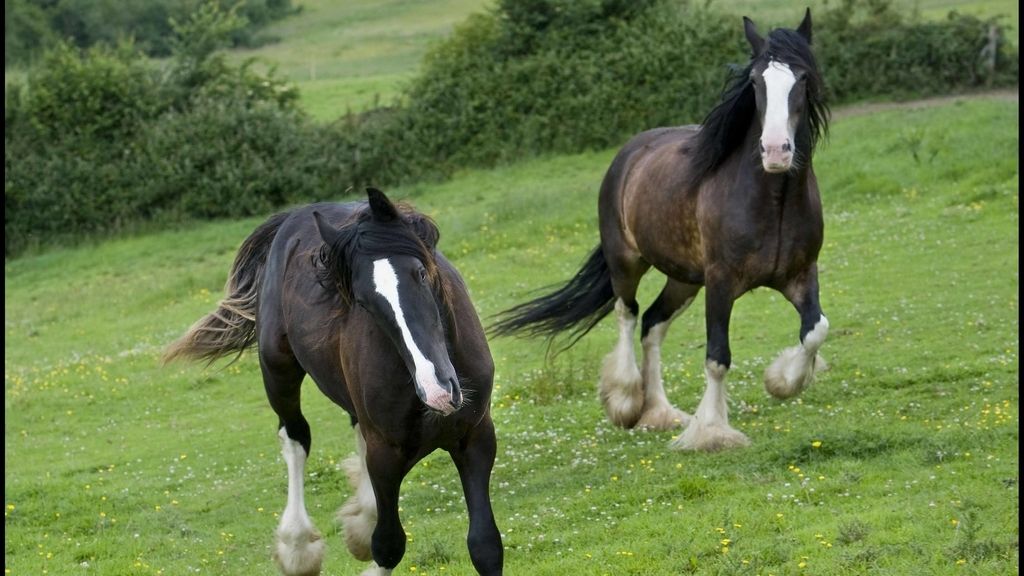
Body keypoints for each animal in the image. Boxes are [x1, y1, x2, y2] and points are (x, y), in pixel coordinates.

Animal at [165, 188, 503, 576]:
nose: (438, 391)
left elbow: (485, 546)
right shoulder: (386, 454)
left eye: (420, 273)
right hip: (278, 371)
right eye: (364, 301)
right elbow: (388, 545)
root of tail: (294, 215)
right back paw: (298, 547)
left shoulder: (476, 437)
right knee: (296, 437)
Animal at [492, 10, 830, 452]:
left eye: (802, 79)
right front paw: (712, 432)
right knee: (628, 313)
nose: (775, 151)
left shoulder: (801, 273)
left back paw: (660, 412)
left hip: (684, 279)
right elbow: (717, 356)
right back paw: (625, 402)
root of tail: (630, 151)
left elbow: (816, 330)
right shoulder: (721, 281)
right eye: (756, 81)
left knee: (653, 324)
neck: (772, 202)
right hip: (627, 263)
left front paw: (781, 382)